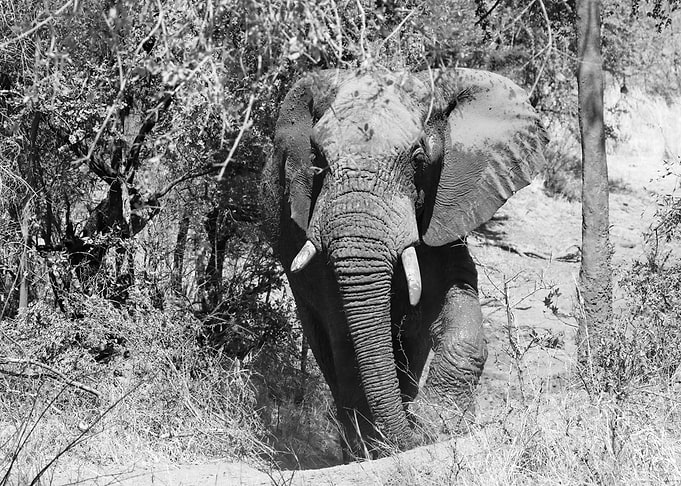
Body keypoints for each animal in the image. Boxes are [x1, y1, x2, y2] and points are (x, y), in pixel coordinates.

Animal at [260, 66, 547, 459]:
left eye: (417, 158)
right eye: (316, 157)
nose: (412, 434)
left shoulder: (442, 212)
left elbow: (455, 301)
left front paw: (437, 427)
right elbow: (347, 337)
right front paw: (380, 447)